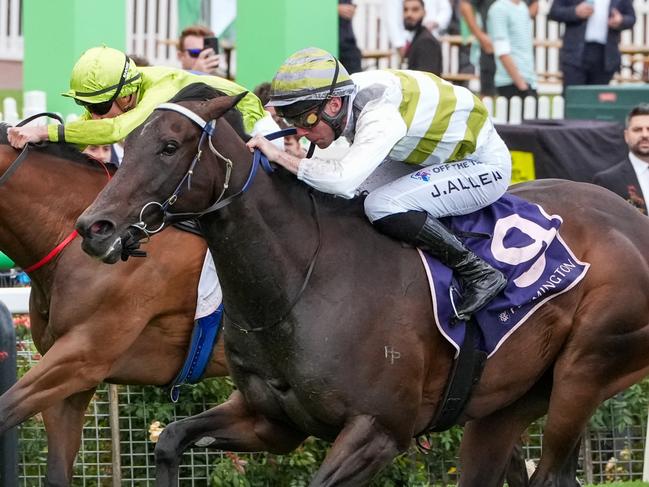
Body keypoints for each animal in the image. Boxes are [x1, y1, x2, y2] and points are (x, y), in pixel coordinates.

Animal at [73, 95, 644, 487]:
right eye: (129, 145)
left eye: (169, 147)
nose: (93, 227)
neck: (299, 282)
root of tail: (631, 217)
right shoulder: (270, 421)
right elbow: (170, 440)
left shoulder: (379, 430)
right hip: (507, 403)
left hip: (585, 370)